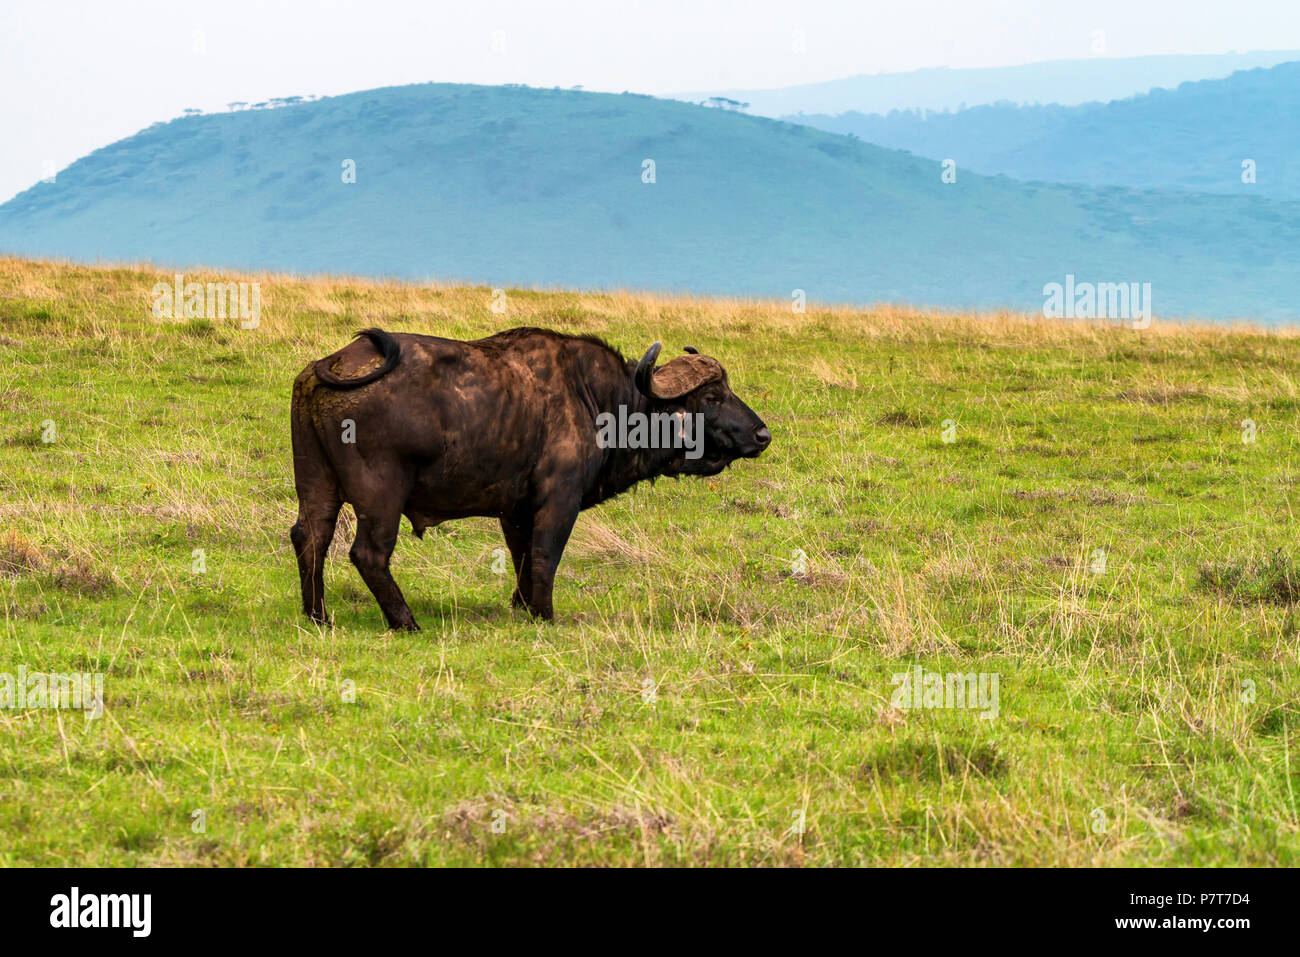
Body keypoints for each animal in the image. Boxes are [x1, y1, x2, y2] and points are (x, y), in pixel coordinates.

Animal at [289, 325, 764, 631]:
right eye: (712, 396)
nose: (763, 434)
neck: (597, 400)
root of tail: (327, 367)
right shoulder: (559, 501)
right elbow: (544, 556)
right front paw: (545, 614)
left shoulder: (513, 510)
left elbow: (520, 557)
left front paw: (522, 607)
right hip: (381, 495)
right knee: (368, 554)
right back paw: (405, 621)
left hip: (317, 485)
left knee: (310, 537)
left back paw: (318, 616)